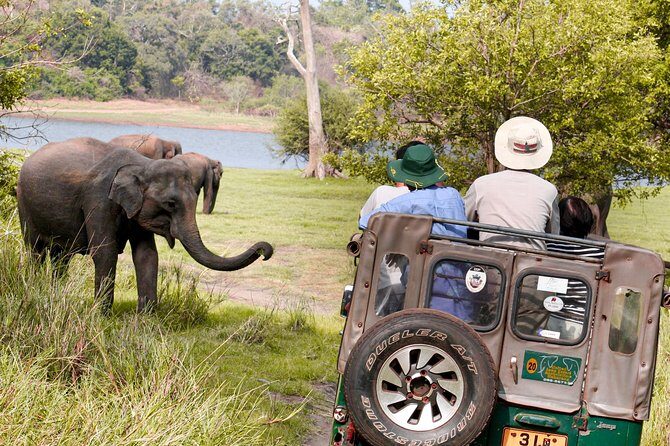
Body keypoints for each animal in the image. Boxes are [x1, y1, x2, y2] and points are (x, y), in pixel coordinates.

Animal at [17, 137, 273, 312]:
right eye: (170, 204)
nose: (264, 251)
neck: (141, 165)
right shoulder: (98, 199)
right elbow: (105, 253)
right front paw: (101, 315)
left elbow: (146, 254)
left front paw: (147, 316)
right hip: (24, 206)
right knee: (35, 250)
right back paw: (35, 289)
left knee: (61, 257)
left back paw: (54, 292)